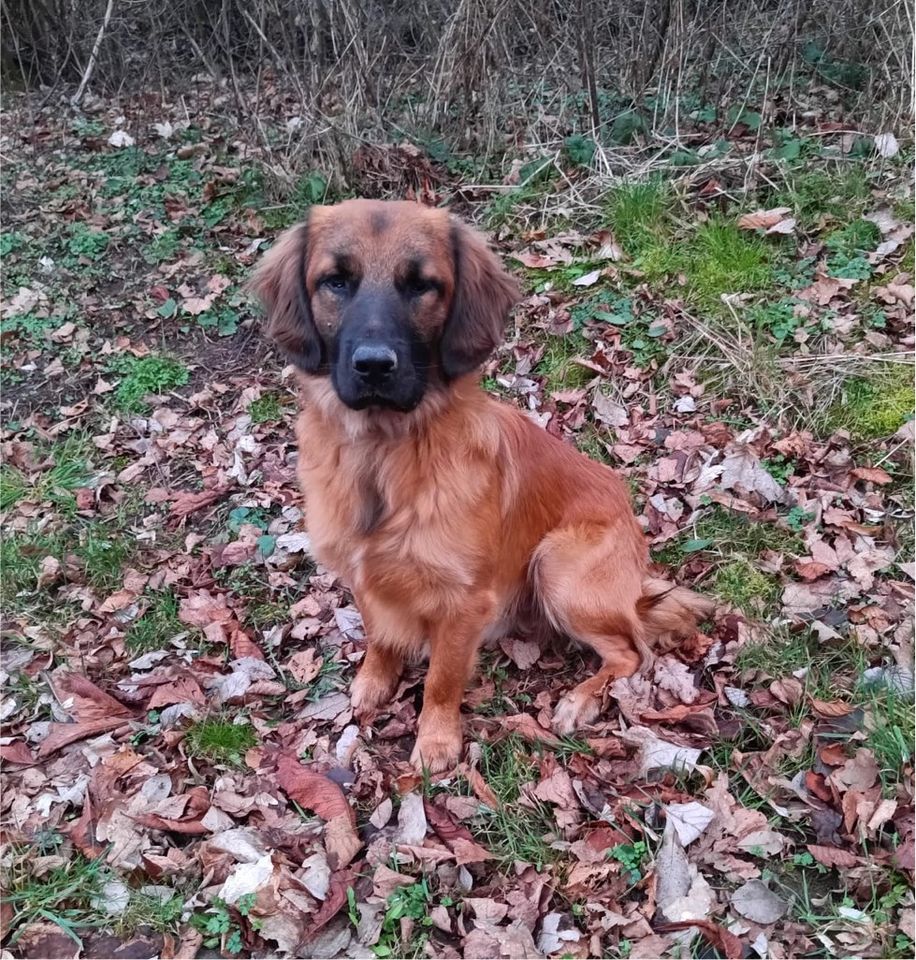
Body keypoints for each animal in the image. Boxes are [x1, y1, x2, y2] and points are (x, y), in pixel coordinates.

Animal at [252, 199, 716, 776]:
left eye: (422, 285)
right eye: (335, 281)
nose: (375, 366)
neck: (384, 456)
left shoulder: (464, 602)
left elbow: (443, 679)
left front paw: (435, 740)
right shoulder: (362, 573)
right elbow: (380, 635)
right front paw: (374, 681)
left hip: (556, 564)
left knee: (632, 652)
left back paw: (579, 700)